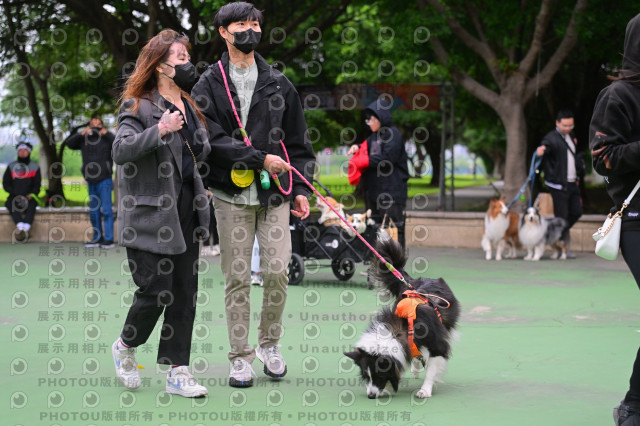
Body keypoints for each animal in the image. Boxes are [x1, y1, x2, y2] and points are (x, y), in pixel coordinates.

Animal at [344, 237, 460, 399]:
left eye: (380, 375)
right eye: (366, 376)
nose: (371, 396)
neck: (401, 330)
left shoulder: (438, 345)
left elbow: (431, 369)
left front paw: (425, 390)